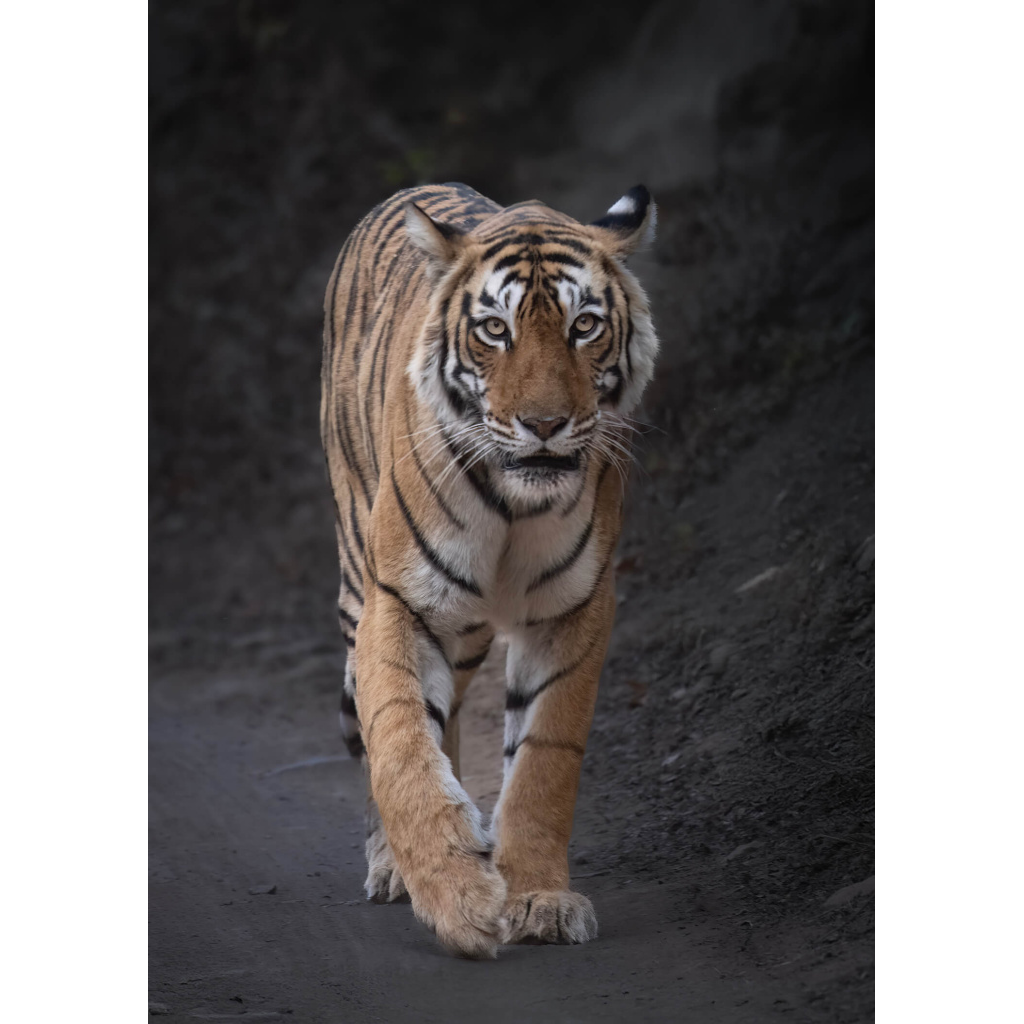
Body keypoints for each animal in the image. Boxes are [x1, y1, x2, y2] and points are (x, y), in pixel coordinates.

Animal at [320, 181, 659, 959]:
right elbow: (399, 740)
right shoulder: (399, 601)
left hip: (468, 631)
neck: (515, 504)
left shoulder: (575, 610)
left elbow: (543, 761)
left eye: (584, 325)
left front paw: (539, 897)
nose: (545, 425)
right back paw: (395, 863)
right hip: (360, 577)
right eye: (495, 330)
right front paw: (457, 898)